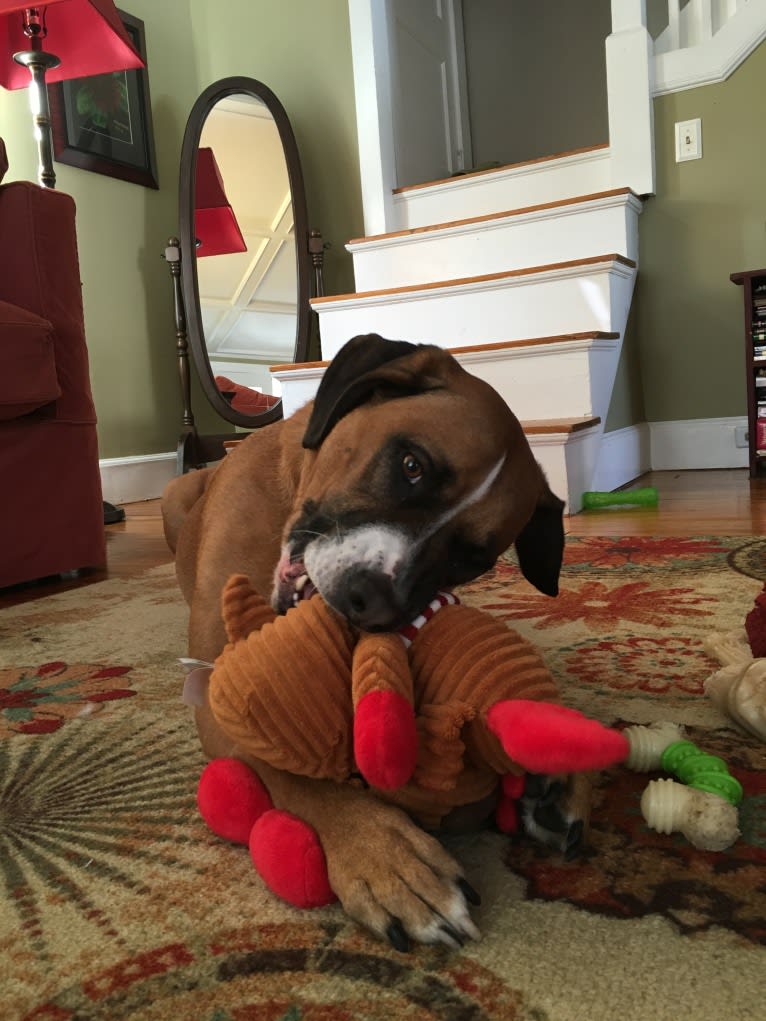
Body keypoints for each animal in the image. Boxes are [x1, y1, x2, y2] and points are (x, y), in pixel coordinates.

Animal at [163, 334, 576, 947]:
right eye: (411, 465)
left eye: (472, 558)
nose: (373, 601)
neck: (293, 485)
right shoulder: (215, 689)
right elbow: (293, 772)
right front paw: (385, 854)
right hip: (174, 495)